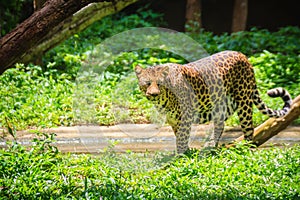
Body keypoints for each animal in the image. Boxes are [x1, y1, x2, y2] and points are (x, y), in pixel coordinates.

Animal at [135, 50, 292, 153]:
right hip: (222, 104)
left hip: (244, 101)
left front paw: (180, 156)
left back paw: (246, 148)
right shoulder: (173, 120)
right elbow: (179, 136)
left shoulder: (185, 117)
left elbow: (182, 138)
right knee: (220, 124)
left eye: (159, 84)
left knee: (249, 128)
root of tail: (243, 55)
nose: (154, 94)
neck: (165, 98)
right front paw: (186, 152)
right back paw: (210, 145)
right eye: (147, 83)